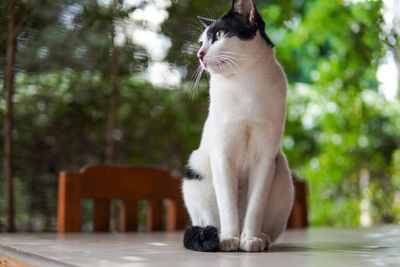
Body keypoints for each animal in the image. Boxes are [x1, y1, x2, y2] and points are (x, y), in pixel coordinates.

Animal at [181, 0, 294, 253]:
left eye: (219, 34)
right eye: (201, 43)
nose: (199, 54)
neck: (245, 83)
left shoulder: (265, 158)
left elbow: (255, 208)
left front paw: (250, 239)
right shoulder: (222, 155)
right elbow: (228, 207)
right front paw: (229, 239)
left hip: (282, 175)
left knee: (265, 225)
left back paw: (261, 238)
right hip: (196, 171)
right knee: (209, 221)